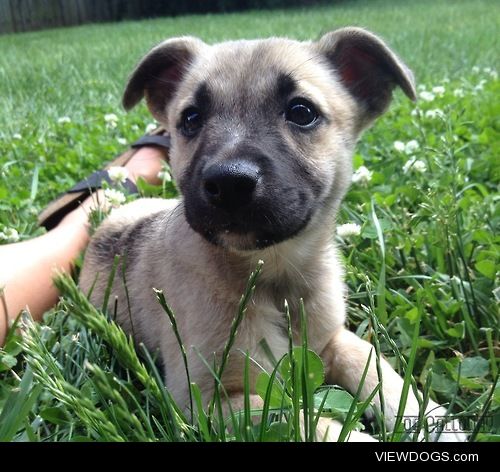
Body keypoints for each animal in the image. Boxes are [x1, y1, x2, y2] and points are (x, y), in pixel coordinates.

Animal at [80, 28, 466, 442]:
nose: (229, 184)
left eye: (302, 112)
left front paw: (429, 419)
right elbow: (296, 419)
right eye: (191, 118)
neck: (274, 274)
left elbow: (371, 362)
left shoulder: (332, 339)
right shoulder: (209, 402)